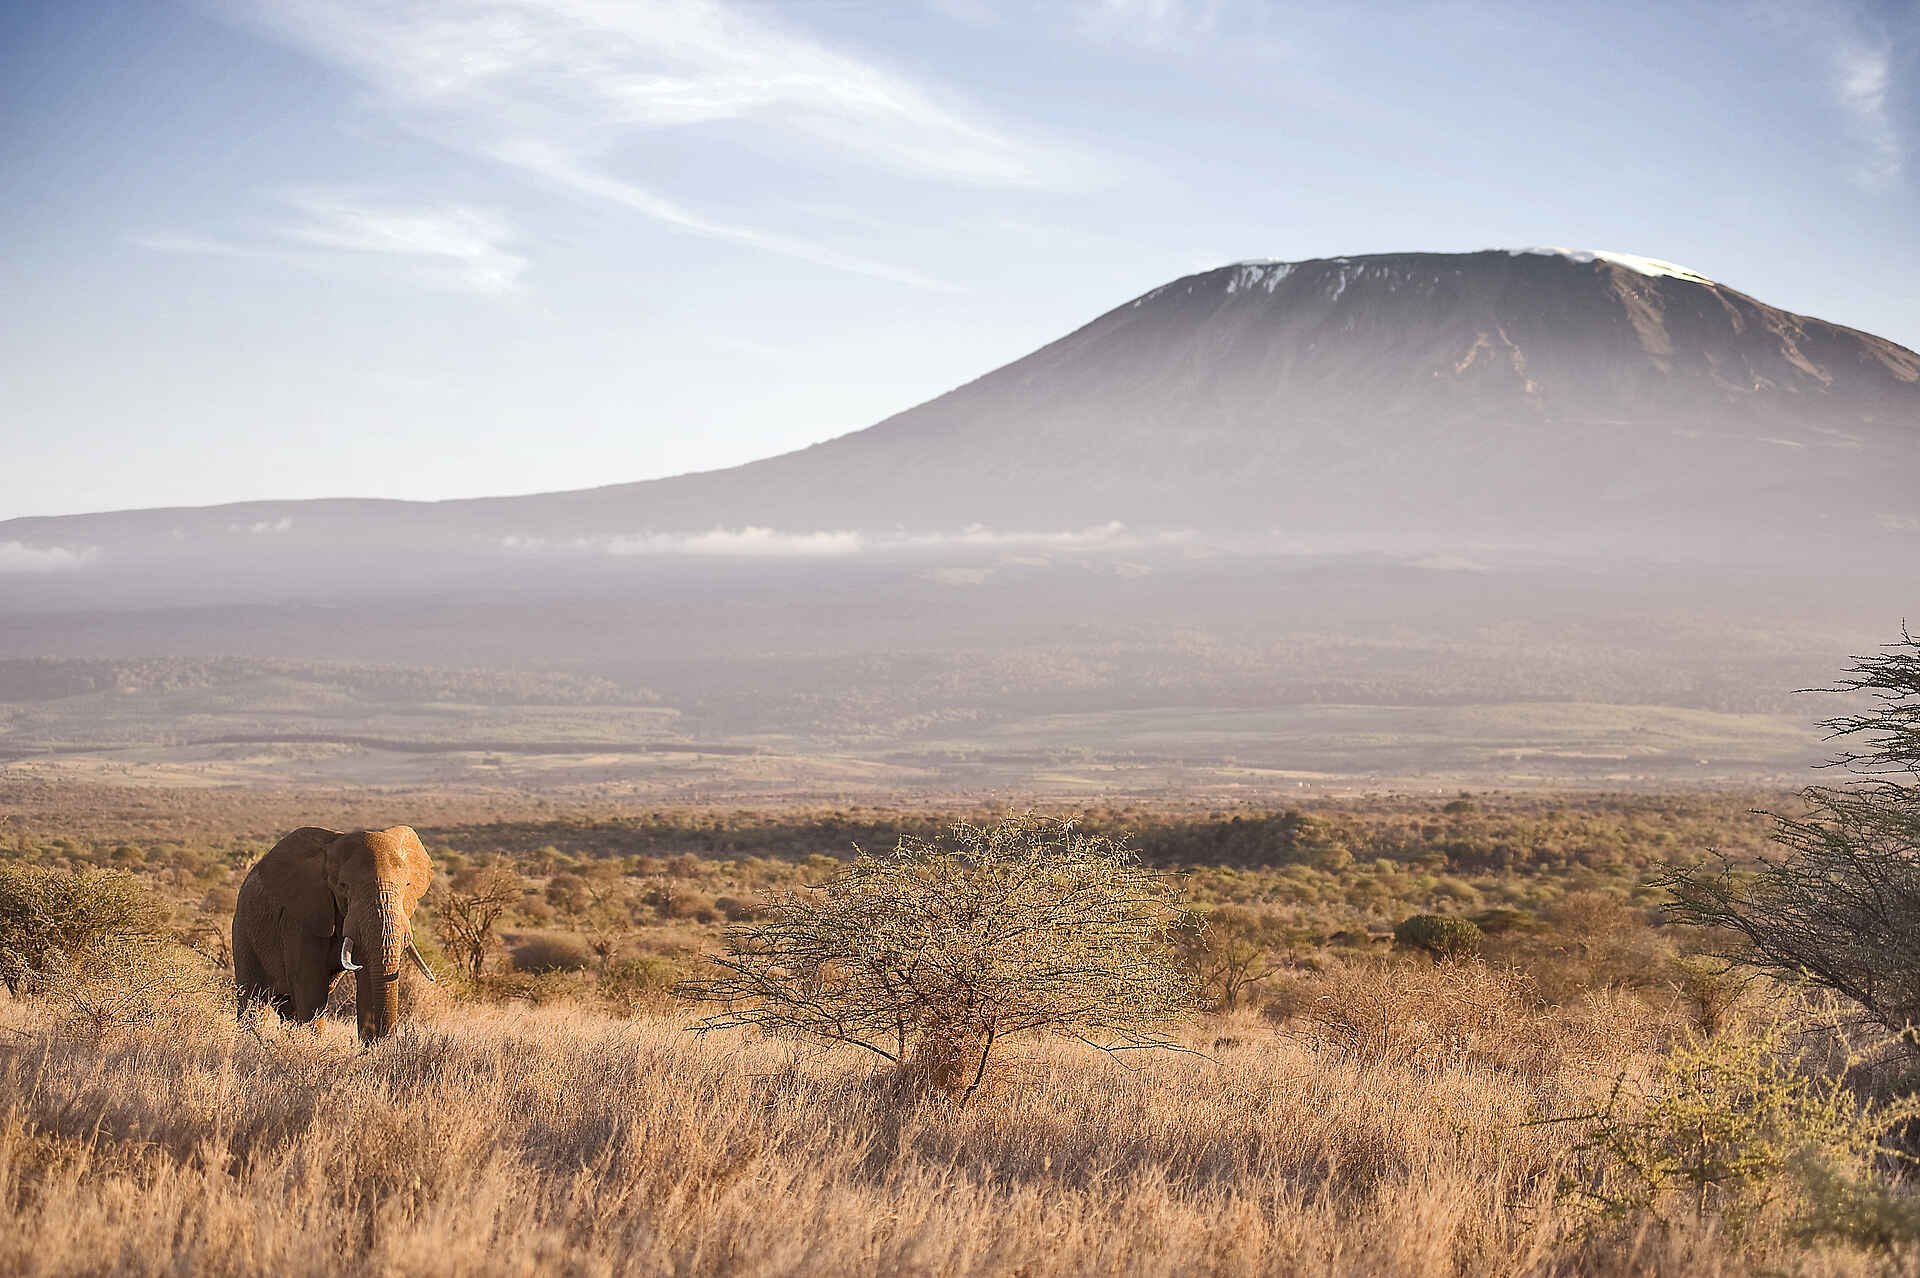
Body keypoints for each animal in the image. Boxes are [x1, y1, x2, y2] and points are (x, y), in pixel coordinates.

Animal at [233, 825, 435, 1043]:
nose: (386, 1042)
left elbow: (368, 980)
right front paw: (312, 1046)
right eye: (343, 887)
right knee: (254, 999)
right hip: (243, 932)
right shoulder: (301, 917)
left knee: (287, 1008)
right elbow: (310, 984)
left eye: (407, 885)